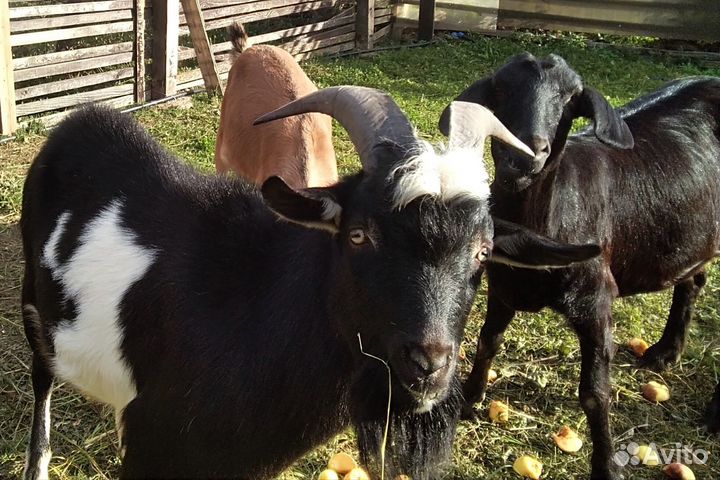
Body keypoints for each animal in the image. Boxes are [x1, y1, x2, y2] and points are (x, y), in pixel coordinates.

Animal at [21, 86, 600, 479]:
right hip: (34, 302)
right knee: (42, 375)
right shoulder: (147, 443)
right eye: (359, 235)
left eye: (482, 251)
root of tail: (80, 121)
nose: (428, 367)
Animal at [440, 53, 720, 480]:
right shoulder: (502, 285)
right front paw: (470, 398)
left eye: (570, 99)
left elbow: (594, 393)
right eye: (500, 89)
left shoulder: (595, 299)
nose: (524, 154)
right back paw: (666, 352)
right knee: (692, 278)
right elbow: (488, 342)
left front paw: (606, 466)